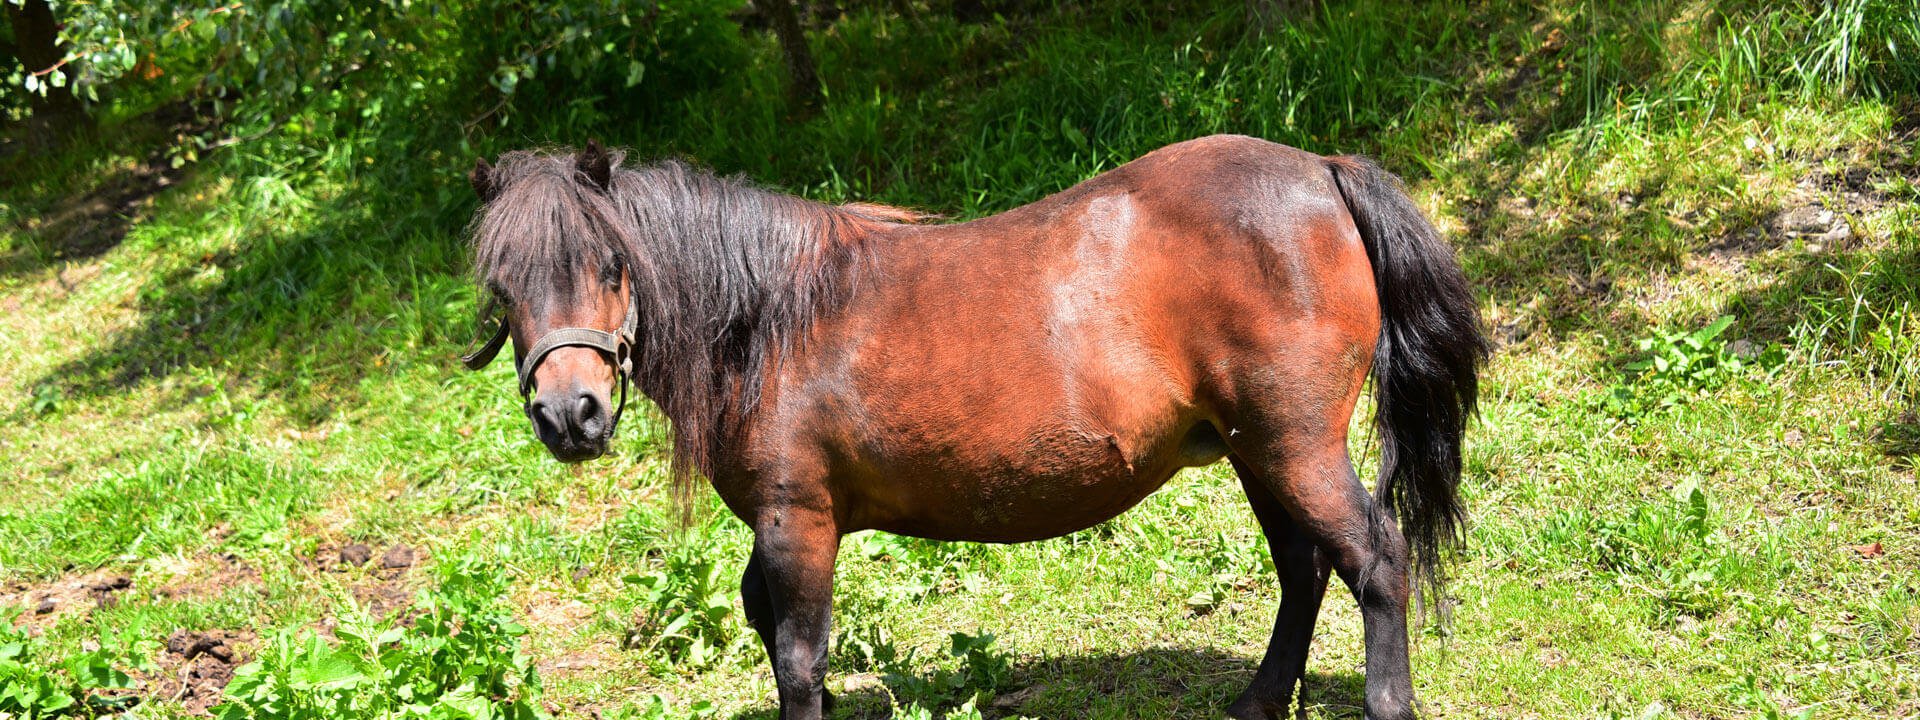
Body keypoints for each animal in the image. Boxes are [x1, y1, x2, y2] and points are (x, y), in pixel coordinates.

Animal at [460, 136, 1482, 720]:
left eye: (609, 264)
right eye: (503, 284)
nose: (569, 414)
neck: (771, 317)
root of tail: (1322, 173)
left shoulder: (799, 522)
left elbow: (797, 658)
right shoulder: (777, 528)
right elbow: (771, 634)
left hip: (1290, 443)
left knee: (1375, 559)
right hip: (1254, 450)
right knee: (1305, 568)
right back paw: (1258, 703)